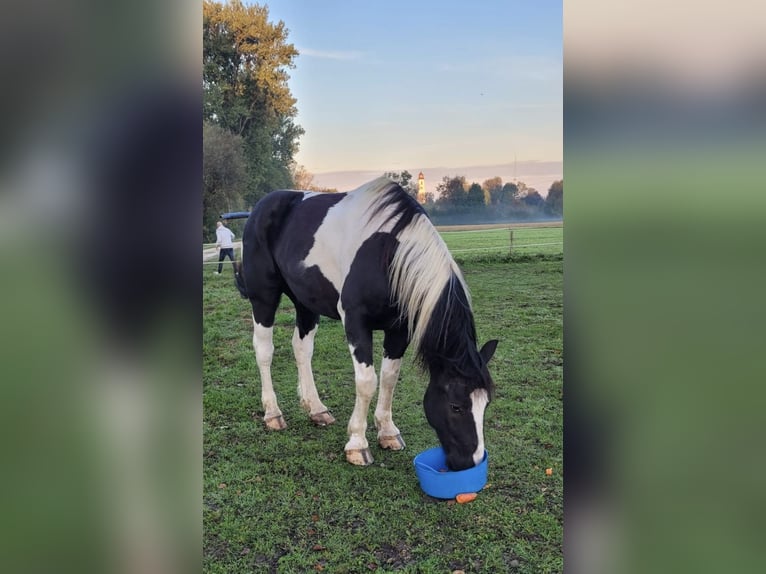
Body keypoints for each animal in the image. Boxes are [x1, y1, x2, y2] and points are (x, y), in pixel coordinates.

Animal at [234, 177, 498, 470]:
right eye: (455, 406)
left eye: (486, 403)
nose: (470, 462)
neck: (387, 253)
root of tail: (260, 208)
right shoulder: (356, 322)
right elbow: (367, 382)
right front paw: (357, 444)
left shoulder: (399, 330)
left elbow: (389, 378)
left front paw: (388, 432)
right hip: (264, 298)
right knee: (264, 351)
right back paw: (273, 413)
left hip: (305, 302)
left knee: (302, 349)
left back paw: (316, 409)